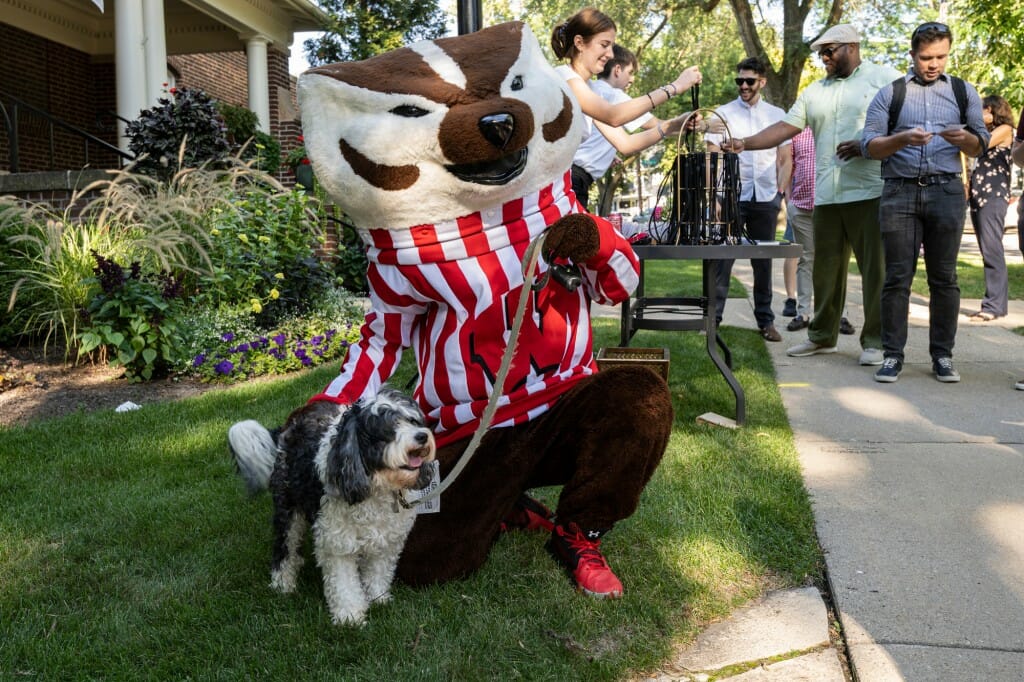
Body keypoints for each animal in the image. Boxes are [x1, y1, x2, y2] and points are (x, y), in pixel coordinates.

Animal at [228, 387, 436, 626]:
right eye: (387, 427)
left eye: (412, 420)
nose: (422, 436)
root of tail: (288, 426)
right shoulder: (337, 541)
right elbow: (343, 582)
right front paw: (349, 616)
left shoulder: (387, 540)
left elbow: (378, 571)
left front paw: (378, 598)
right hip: (287, 507)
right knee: (284, 547)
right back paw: (283, 583)